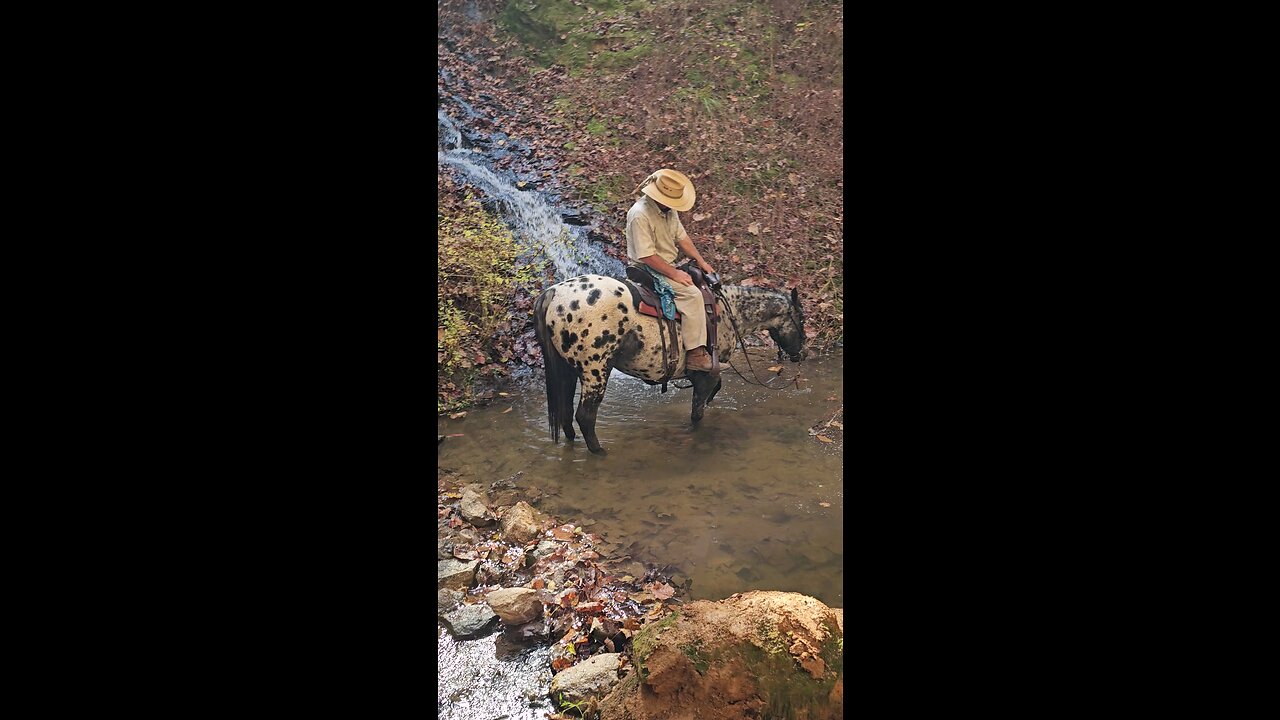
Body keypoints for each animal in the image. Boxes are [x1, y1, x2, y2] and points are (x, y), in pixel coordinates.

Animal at [529, 271, 798, 450]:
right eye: (801, 319)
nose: (801, 353)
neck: (727, 312)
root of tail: (554, 293)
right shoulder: (706, 374)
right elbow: (698, 410)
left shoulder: (699, 373)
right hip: (595, 370)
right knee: (585, 416)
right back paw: (599, 451)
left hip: (567, 371)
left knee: (565, 411)